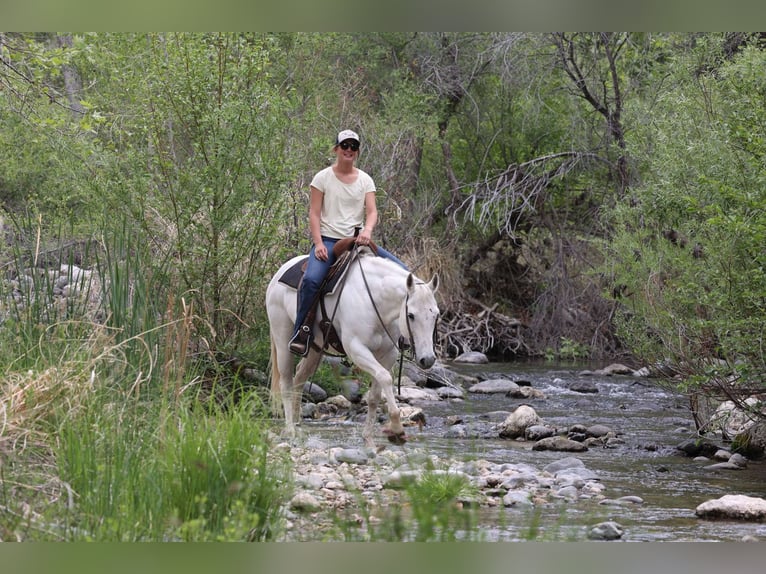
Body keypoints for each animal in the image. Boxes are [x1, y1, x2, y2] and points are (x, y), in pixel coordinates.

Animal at [265, 247, 440, 448]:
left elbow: (374, 395)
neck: (375, 301)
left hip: (315, 350)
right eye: (411, 315)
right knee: (286, 382)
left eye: (436, 314)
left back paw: (297, 425)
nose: (428, 359)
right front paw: (397, 429)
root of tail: (279, 272)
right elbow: (385, 378)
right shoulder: (356, 349)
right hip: (282, 338)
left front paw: (369, 439)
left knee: (299, 378)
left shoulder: (387, 354)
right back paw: (291, 431)